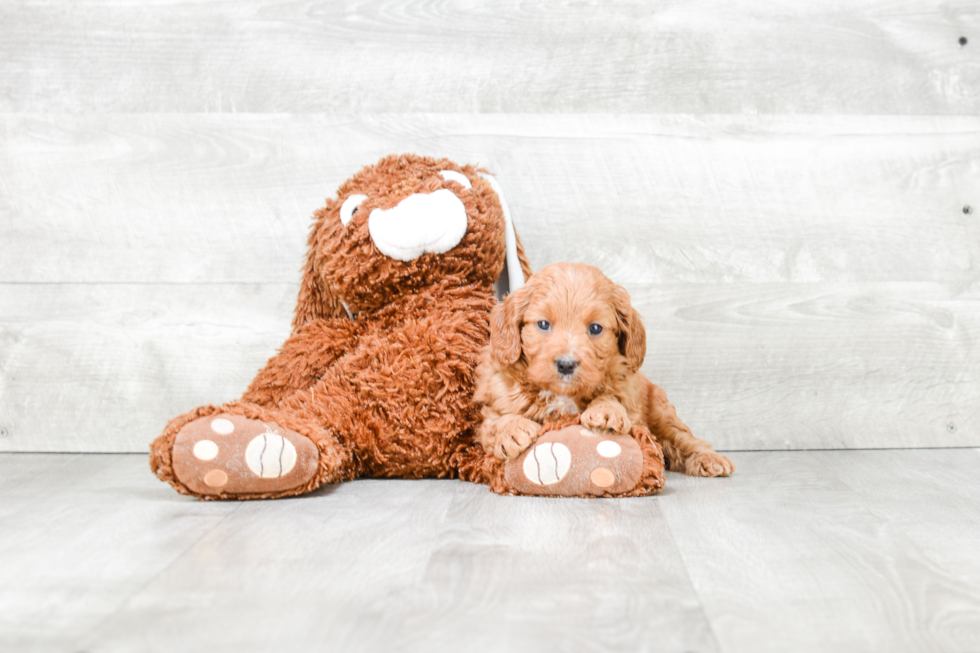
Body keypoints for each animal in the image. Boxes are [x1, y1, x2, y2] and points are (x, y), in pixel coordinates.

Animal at [474, 258, 736, 474]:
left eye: (595, 328)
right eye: (543, 324)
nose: (566, 364)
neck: (563, 395)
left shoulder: (626, 388)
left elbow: (614, 397)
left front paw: (606, 411)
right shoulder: (494, 399)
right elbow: (497, 418)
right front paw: (512, 430)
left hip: (661, 414)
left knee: (684, 438)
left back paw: (709, 459)